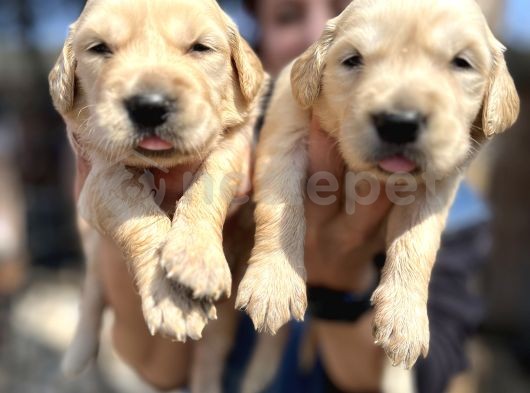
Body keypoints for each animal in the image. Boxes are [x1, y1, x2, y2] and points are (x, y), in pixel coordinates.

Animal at [49, 0, 264, 380]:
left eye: (200, 48)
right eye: (99, 48)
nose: (148, 106)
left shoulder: (238, 147)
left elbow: (209, 181)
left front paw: (196, 258)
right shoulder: (97, 176)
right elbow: (140, 214)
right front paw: (173, 300)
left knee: (209, 359)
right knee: (91, 292)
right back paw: (76, 357)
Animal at [237, 0, 516, 368]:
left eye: (462, 63)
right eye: (353, 60)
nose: (399, 123)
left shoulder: (438, 185)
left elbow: (418, 243)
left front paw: (405, 319)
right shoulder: (285, 131)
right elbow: (283, 211)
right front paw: (273, 284)